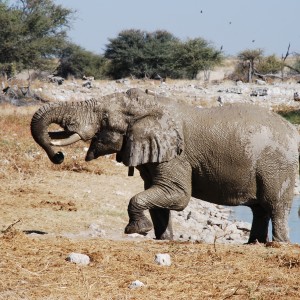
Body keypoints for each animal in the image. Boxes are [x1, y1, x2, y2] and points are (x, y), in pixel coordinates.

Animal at [31, 88, 300, 243]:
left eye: (105, 119)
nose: (58, 156)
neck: (152, 104)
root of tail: (293, 130)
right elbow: (156, 194)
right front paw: (164, 240)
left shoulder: (176, 155)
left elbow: (177, 195)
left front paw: (136, 230)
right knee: (260, 209)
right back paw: (254, 244)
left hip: (278, 166)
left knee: (275, 205)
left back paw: (277, 245)